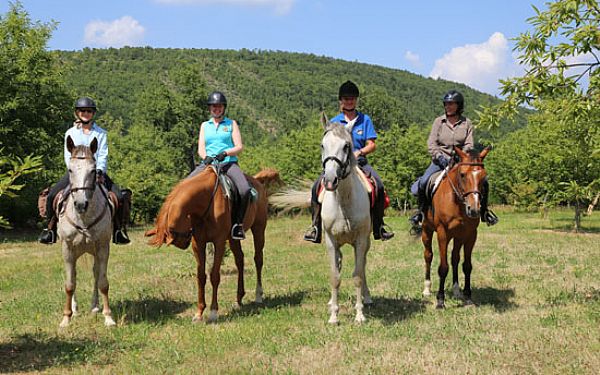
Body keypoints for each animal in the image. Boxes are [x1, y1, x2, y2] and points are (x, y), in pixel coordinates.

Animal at [57, 137, 116, 328]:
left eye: (93, 170)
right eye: (70, 169)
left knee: (96, 274)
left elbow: (103, 282)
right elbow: (69, 284)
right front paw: (66, 318)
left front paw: (108, 317)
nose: (81, 204)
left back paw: (95, 306)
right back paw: (75, 310)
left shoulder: (103, 247)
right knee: (74, 275)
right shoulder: (67, 249)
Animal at [145, 167, 282, 324]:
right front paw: (199, 313)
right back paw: (238, 299)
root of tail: (257, 181)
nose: (184, 244)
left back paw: (258, 295)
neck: (205, 201)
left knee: (258, 259)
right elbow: (201, 277)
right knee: (240, 261)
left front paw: (213, 312)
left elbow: (214, 276)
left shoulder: (219, 242)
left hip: (259, 228)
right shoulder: (198, 244)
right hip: (233, 238)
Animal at [270, 114, 370, 324]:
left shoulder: (360, 240)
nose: (330, 181)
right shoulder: (330, 240)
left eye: (346, 146)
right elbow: (335, 276)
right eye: (322, 145)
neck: (344, 201)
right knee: (339, 264)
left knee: (363, 266)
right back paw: (332, 303)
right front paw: (334, 316)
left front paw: (359, 315)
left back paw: (367, 297)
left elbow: (357, 275)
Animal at [422, 146, 492, 308]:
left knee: (455, 258)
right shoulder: (442, 233)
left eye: (483, 176)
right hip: (426, 231)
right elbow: (443, 267)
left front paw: (468, 297)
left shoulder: (471, 234)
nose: (474, 209)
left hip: (458, 237)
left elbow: (467, 266)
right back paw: (427, 289)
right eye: (462, 174)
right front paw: (440, 301)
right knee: (428, 255)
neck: (457, 203)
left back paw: (456, 290)